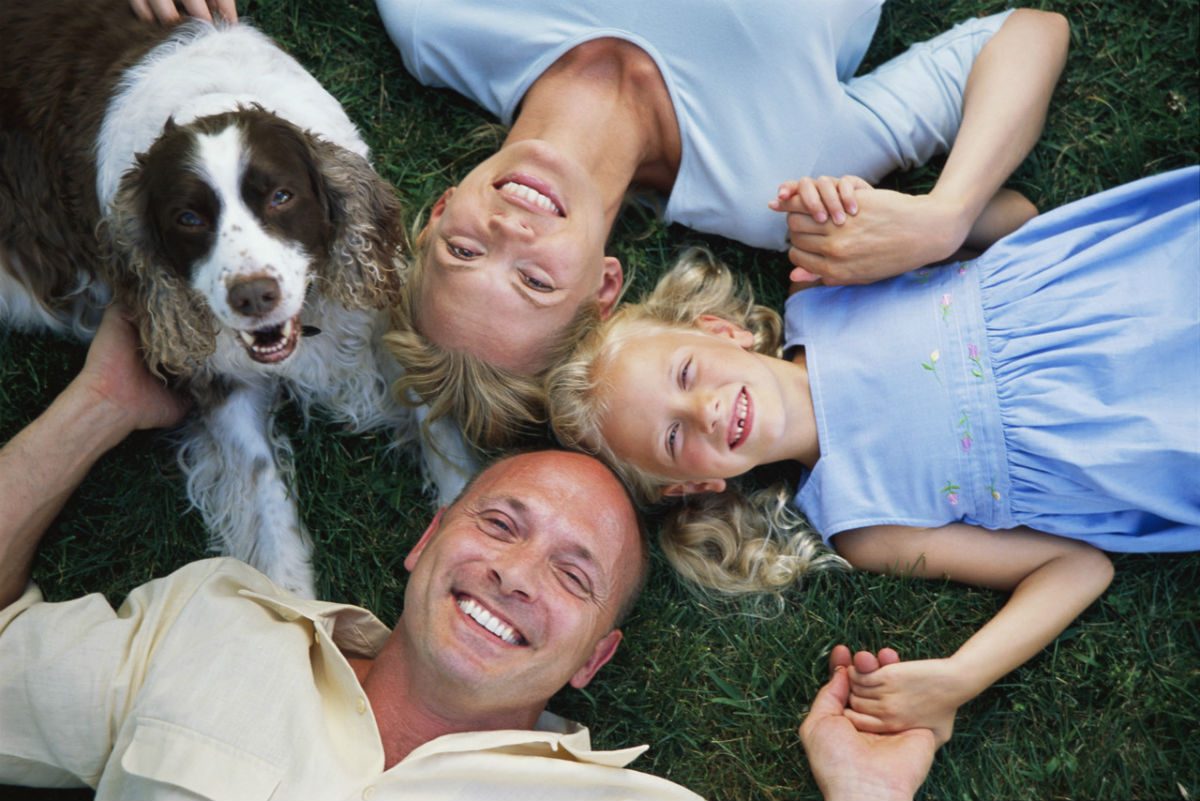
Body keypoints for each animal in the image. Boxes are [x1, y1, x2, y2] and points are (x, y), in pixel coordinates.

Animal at [0, 0, 468, 597]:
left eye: (281, 195)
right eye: (188, 218)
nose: (253, 296)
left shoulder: (377, 311)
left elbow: (444, 432)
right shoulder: (224, 385)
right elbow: (266, 503)